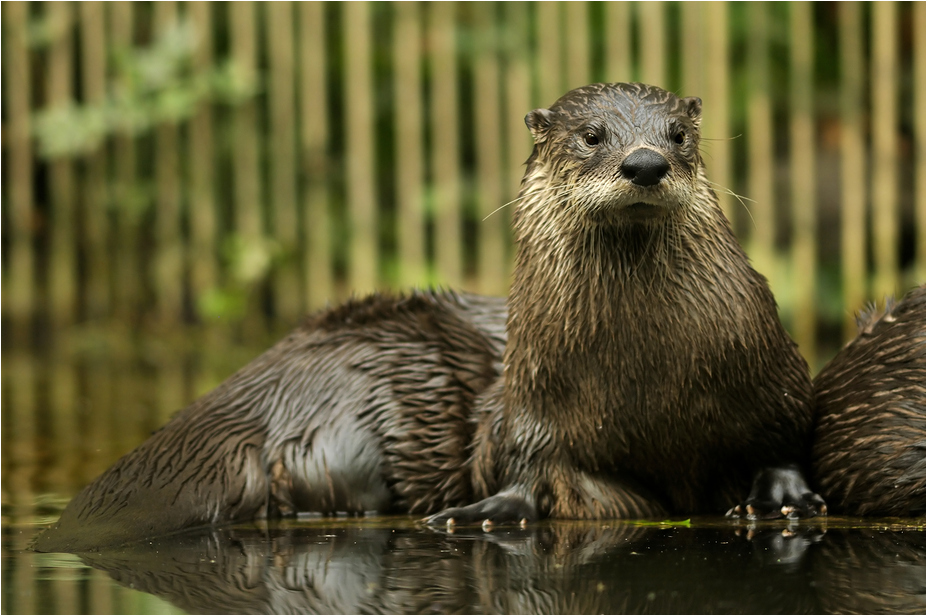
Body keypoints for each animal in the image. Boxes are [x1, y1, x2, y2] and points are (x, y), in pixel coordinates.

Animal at [34, 83, 822, 553]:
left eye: (679, 133)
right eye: (593, 134)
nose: (646, 162)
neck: (647, 381)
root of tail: (253, 393)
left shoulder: (775, 384)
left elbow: (781, 437)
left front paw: (783, 494)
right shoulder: (529, 410)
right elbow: (528, 471)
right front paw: (488, 510)